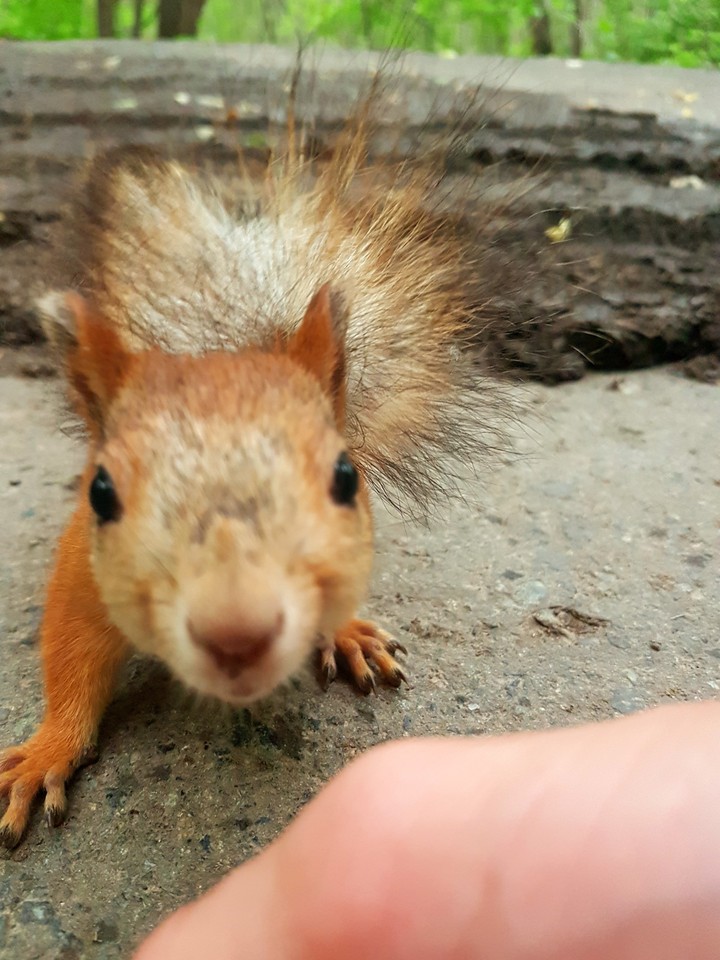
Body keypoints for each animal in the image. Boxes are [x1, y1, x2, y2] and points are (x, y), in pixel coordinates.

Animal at [0, 76, 515, 847]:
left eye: (346, 477)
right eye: (101, 493)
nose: (237, 631)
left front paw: (347, 632)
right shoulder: (84, 573)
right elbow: (69, 656)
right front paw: (45, 752)